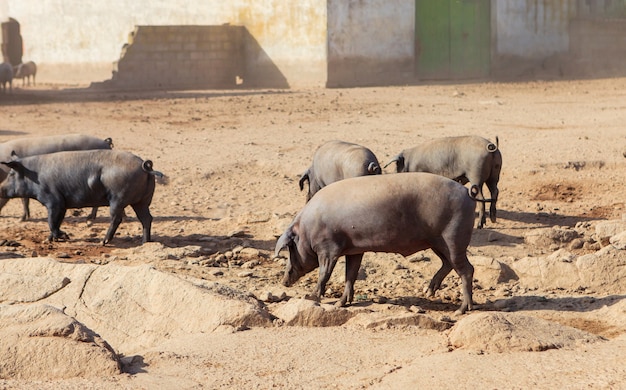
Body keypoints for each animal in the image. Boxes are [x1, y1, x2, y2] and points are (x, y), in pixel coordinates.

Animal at [0, 149, 166, 244]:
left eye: (11, 173)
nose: (1, 188)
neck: (34, 176)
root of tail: (144, 166)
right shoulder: (62, 204)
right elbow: (57, 221)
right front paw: (49, 239)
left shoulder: (54, 201)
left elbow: (52, 221)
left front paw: (64, 237)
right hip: (142, 201)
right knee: (146, 218)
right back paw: (145, 242)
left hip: (118, 198)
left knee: (117, 218)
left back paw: (104, 242)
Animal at [276, 172, 476, 316]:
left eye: (290, 248)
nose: (283, 281)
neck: (307, 229)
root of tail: (467, 193)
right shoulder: (354, 249)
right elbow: (350, 275)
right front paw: (341, 303)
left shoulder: (328, 249)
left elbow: (324, 274)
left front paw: (311, 296)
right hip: (437, 242)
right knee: (448, 264)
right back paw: (428, 292)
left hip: (453, 238)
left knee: (467, 269)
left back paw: (460, 311)